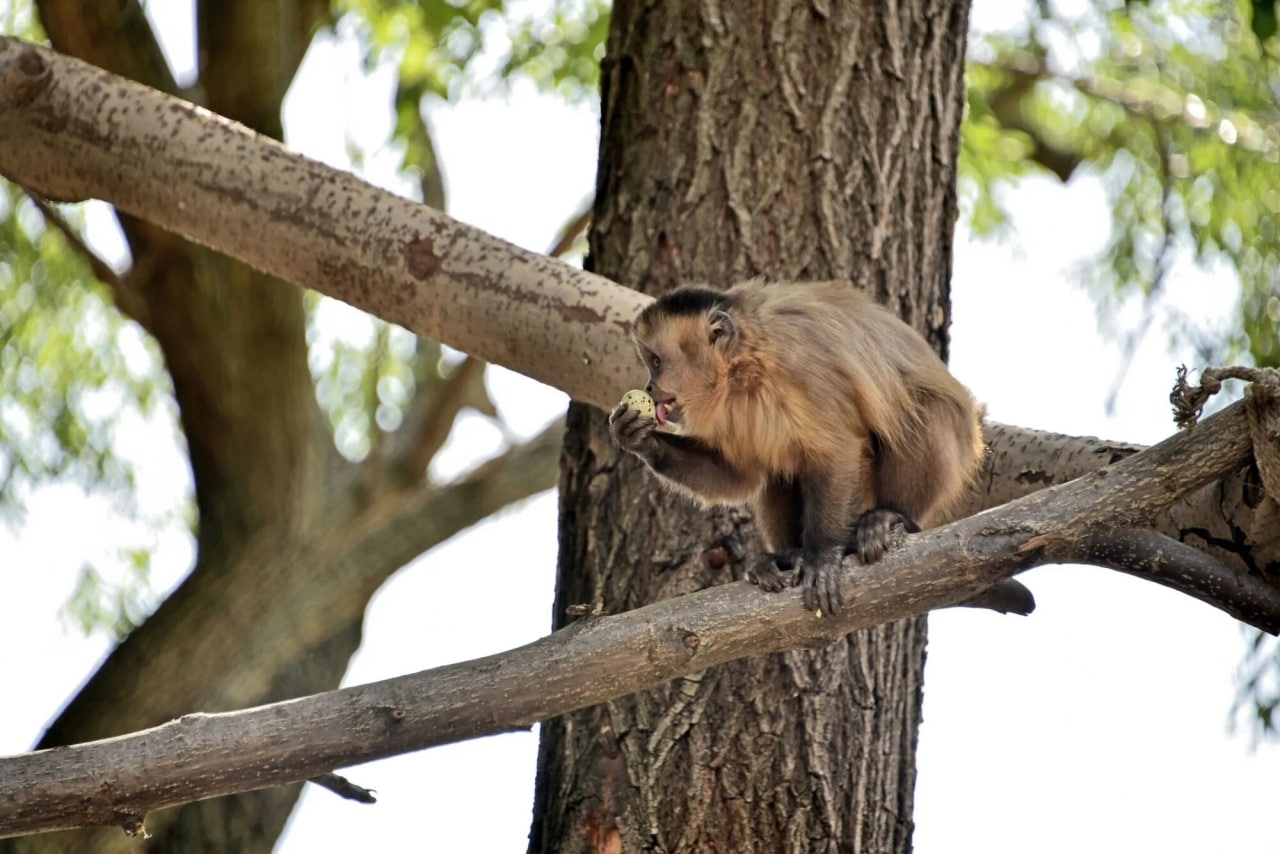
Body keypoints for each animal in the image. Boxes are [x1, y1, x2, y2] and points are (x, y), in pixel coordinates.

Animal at [608, 280, 985, 617]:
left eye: (656, 361)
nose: (649, 386)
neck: (744, 364)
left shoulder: (801, 367)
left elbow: (837, 451)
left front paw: (822, 555)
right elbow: (737, 477)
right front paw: (642, 439)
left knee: (920, 410)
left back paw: (891, 517)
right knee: (778, 467)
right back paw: (787, 556)